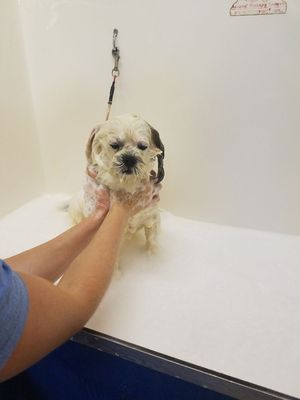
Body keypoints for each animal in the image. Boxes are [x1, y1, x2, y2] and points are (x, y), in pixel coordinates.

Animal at [69, 114, 165, 255]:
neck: (128, 186)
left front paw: (151, 255)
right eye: (114, 145)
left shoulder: (152, 219)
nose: (129, 159)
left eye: (142, 146)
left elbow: (151, 241)